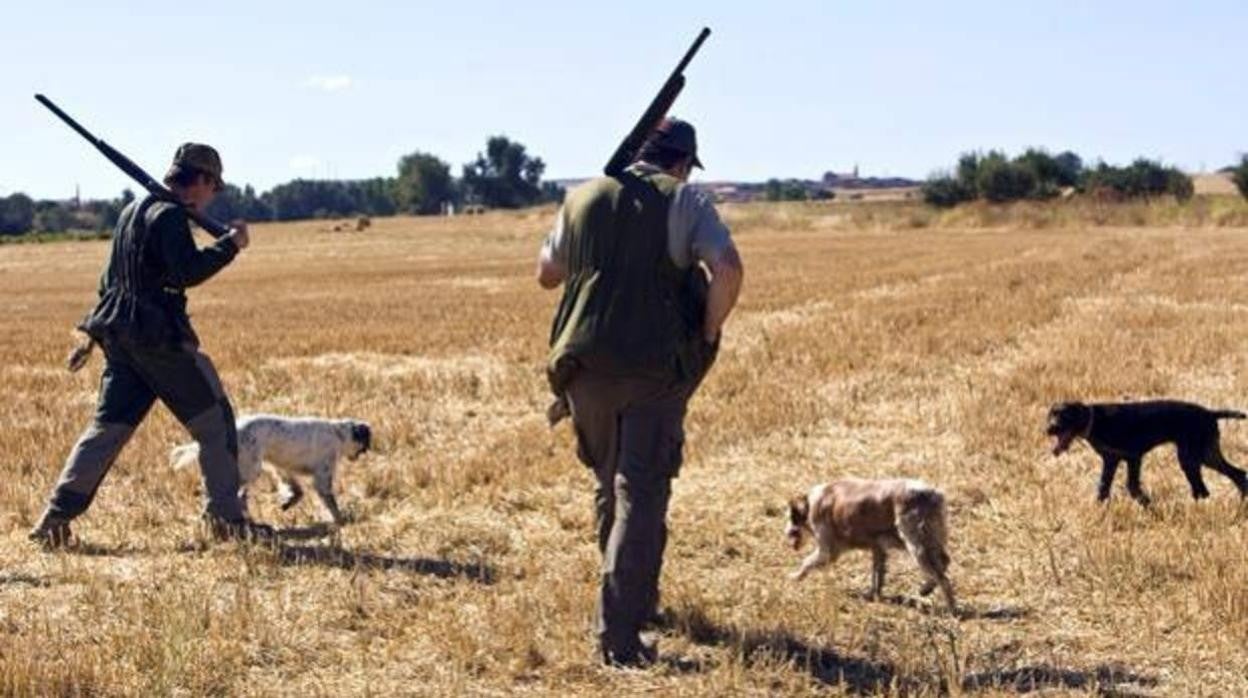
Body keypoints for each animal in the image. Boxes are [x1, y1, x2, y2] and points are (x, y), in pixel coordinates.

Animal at [173, 414, 371, 524]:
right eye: (364, 446)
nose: (360, 457)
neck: (338, 433)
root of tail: (236, 429)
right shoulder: (323, 476)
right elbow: (331, 502)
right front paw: (340, 519)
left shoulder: (283, 467)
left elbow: (297, 490)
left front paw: (287, 502)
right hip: (251, 469)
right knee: (235, 493)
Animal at [788, 476, 953, 614]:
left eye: (790, 518)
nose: (787, 534)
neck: (811, 504)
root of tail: (933, 494)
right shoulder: (878, 549)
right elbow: (876, 576)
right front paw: (872, 595)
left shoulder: (829, 551)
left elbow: (806, 563)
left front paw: (795, 576)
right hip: (928, 541)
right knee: (944, 563)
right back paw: (926, 590)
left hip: (916, 544)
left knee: (943, 578)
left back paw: (950, 607)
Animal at [1048, 402, 1243, 504]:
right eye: (1051, 415)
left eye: (1063, 416)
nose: (1049, 429)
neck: (1095, 420)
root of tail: (1210, 412)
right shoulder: (1111, 460)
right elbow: (1103, 487)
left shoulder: (1133, 457)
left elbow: (1132, 486)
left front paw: (1147, 503)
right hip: (1204, 455)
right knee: (1236, 475)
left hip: (1193, 456)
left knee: (1205, 488)